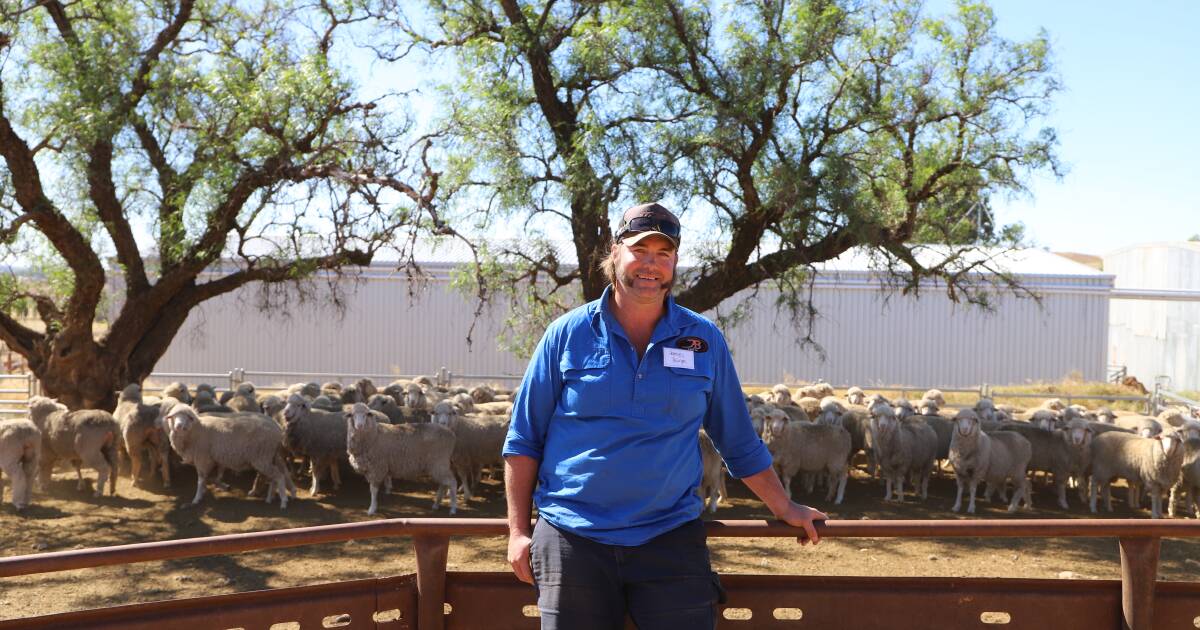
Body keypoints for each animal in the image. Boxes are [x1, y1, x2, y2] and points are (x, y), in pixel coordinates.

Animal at [162, 405, 295, 508]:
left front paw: (197, 498)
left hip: (262, 457)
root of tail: (277, 427)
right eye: (174, 416)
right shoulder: (213, 459)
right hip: (270, 456)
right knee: (275, 476)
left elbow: (201, 480)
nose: (179, 426)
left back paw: (283, 501)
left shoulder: (202, 458)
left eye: (188, 417)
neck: (197, 430)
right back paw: (270, 497)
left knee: (278, 476)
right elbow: (212, 477)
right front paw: (212, 488)